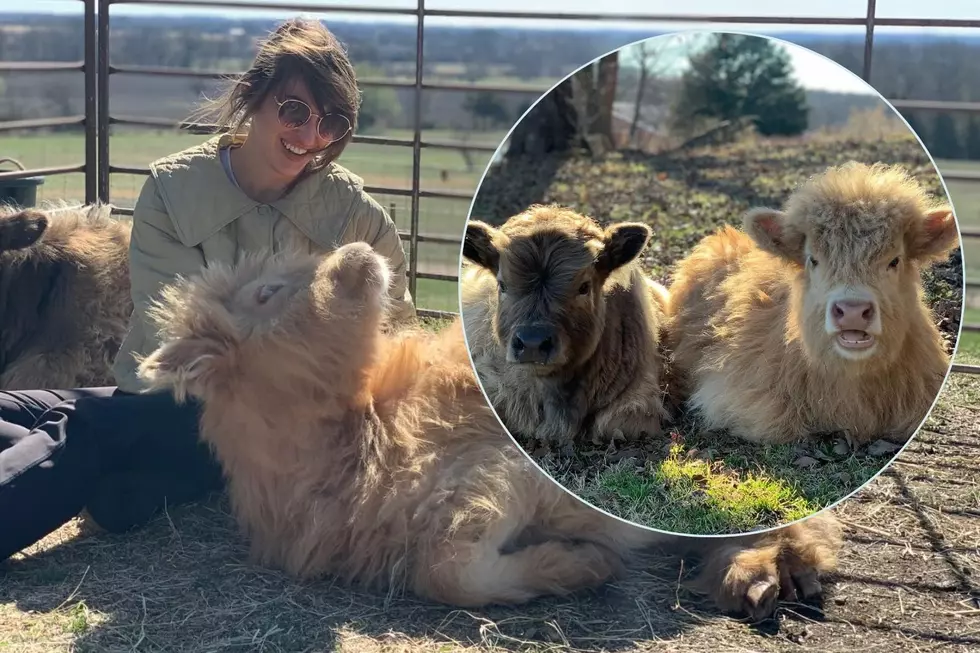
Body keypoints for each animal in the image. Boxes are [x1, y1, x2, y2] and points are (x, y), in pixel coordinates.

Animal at [136, 243, 844, 616]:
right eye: (265, 293)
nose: (359, 253)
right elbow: (451, 575)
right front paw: (588, 563)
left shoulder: (493, 477)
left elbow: (458, 572)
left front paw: (587, 562)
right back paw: (757, 580)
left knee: (798, 521)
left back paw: (764, 577)